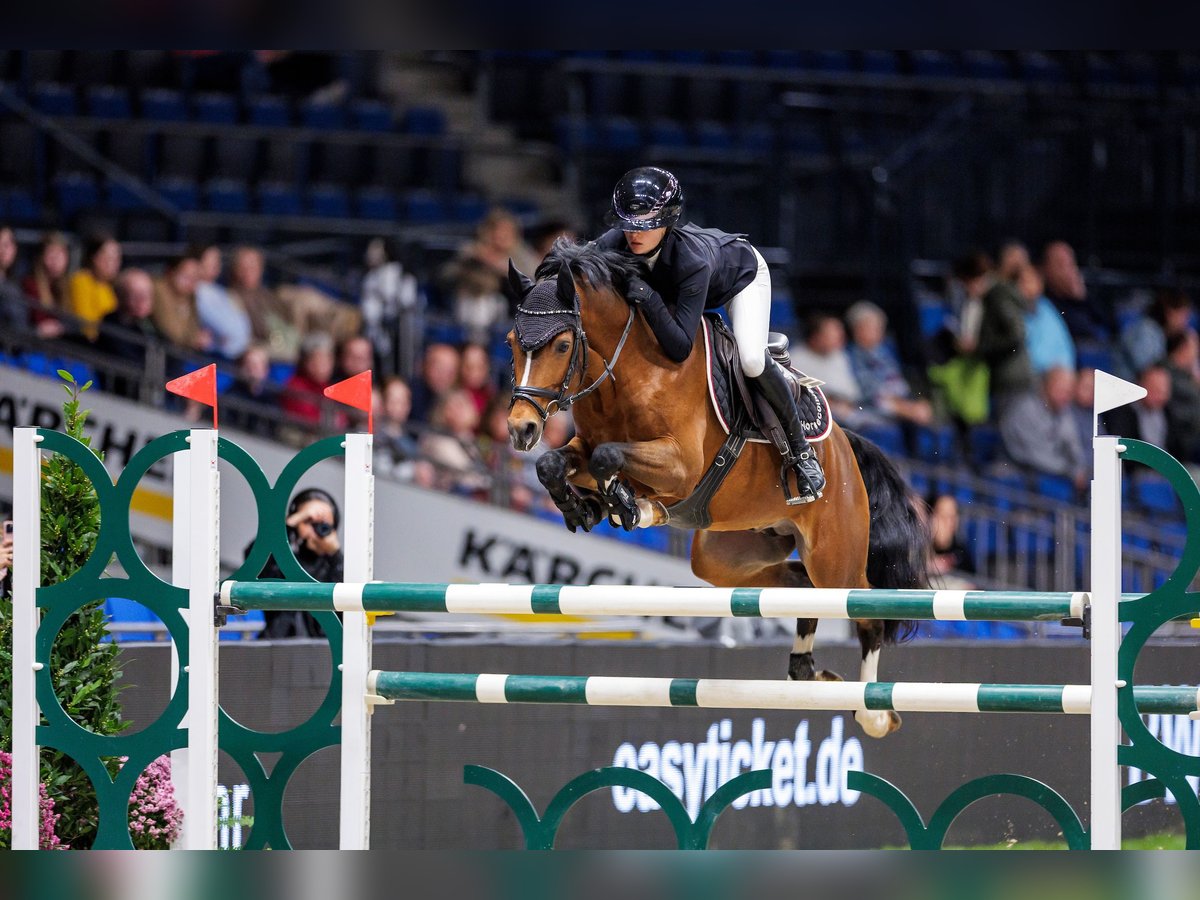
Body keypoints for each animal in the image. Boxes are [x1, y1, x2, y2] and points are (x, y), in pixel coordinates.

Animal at [506, 240, 926, 739]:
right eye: (511, 342)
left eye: (563, 344)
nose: (521, 429)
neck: (628, 372)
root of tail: (845, 446)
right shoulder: (585, 448)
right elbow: (558, 462)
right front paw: (584, 507)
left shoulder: (680, 465)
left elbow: (608, 457)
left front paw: (629, 506)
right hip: (728, 554)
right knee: (799, 586)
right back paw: (809, 672)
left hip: (835, 556)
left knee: (866, 612)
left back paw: (874, 711)